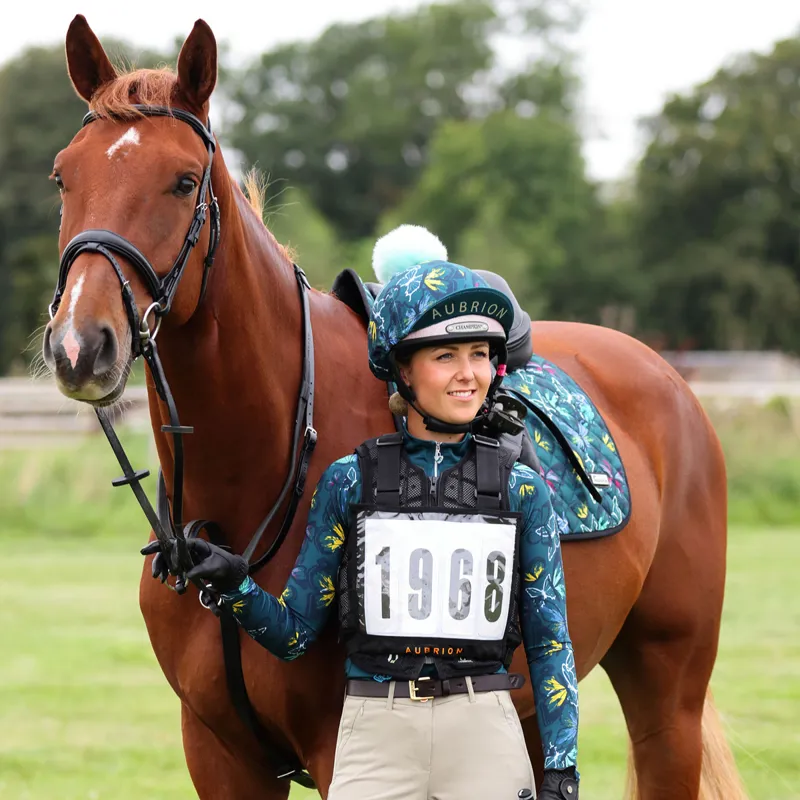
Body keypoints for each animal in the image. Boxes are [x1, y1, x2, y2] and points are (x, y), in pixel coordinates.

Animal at [42, 14, 744, 800]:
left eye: (183, 180)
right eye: (64, 175)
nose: (79, 344)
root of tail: (668, 377)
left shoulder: (337, 748)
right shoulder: (219, 752)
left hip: (669, 699)